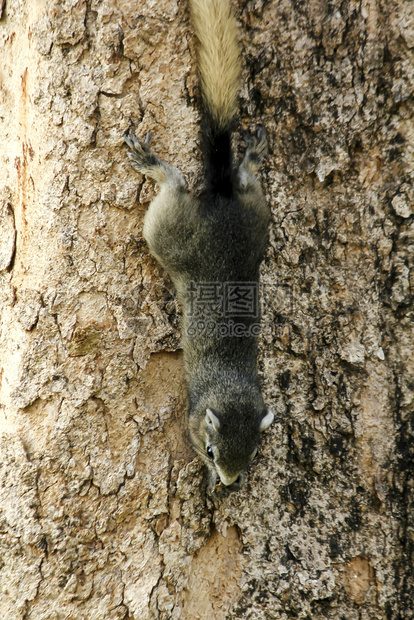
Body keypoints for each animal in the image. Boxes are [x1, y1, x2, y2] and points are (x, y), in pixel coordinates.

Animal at [124, 0, 274, 494]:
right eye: (211, 451)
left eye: (253, 453)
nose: (229, 483)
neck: (230, 387)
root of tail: (221, 197)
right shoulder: (191, 418)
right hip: (168, 231)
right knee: (174, 186)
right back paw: (157, 165)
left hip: (257, 219)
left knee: (243, 181)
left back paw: (251, 158)